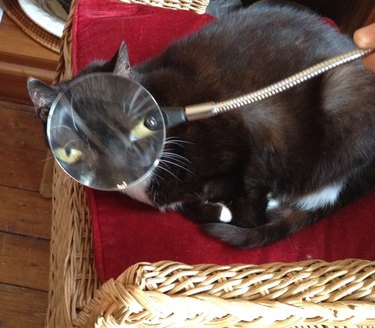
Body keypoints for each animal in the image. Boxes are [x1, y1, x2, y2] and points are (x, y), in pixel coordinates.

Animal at [27, 1, 374, 249]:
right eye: (81, 137)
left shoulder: (252, 133)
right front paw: (211, 206)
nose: (119, 152)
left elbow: (248, 206)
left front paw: (229, 210)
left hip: (339, 96)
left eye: (131, 119)